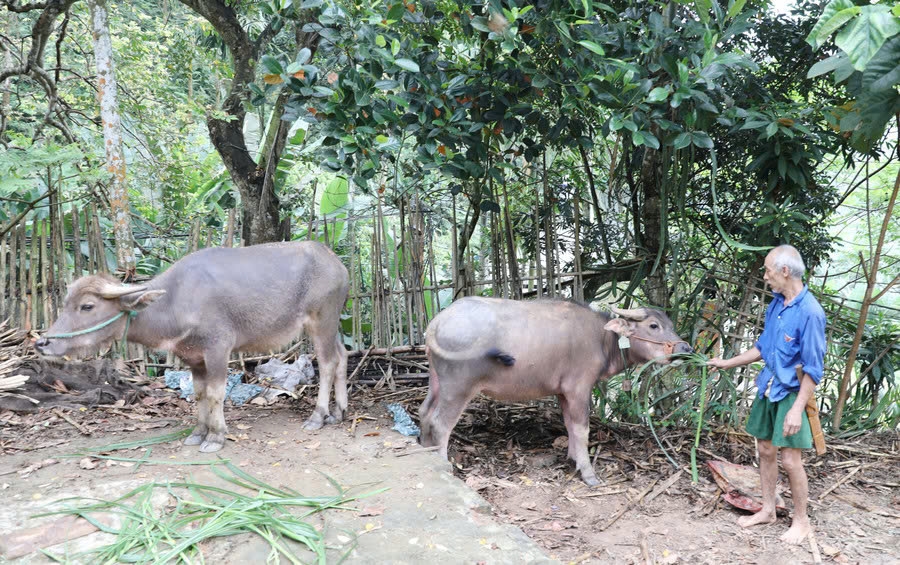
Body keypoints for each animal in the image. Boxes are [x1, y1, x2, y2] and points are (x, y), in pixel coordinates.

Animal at [33, 240, 348, 452]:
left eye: (87, 306)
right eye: (65, 303)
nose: (42, 342)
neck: (176, 301)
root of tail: (337, 264)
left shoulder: (218, 349)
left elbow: (217, 394)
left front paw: (216, 436)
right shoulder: (192, 358)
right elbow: (199, 394)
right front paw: (198, 432)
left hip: (321, 321)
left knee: (327, 362)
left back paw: (318, 416)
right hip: (332, 324)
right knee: (342, 355)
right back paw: (339, 411)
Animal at [418, 298, 692, 486]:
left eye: (670, 325)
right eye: (653, 325)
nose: (685, 349)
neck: (602, 338)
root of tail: (438, 321)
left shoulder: (563, 393)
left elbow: (569, 425)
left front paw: (572, 458)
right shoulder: (579, 388)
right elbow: (582, 429)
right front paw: (588, 472)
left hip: (437, 380)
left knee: (424, 411)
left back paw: (425, 450)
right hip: (458, 387)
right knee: (441, 423)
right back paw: (443, 464)